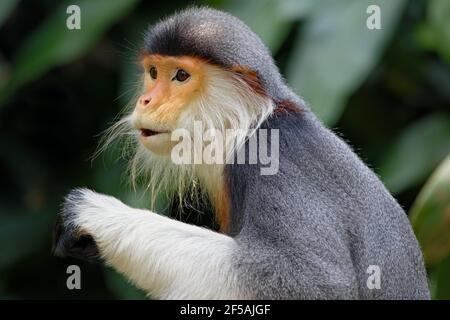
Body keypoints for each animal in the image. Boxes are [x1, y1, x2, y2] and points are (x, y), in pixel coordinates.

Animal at [54, 6, 430, 300]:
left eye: (181, 75)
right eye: (153, 72)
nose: (146, 100)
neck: (246, 128)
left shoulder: (274, 161)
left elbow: (315, 283)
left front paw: (95, 213)